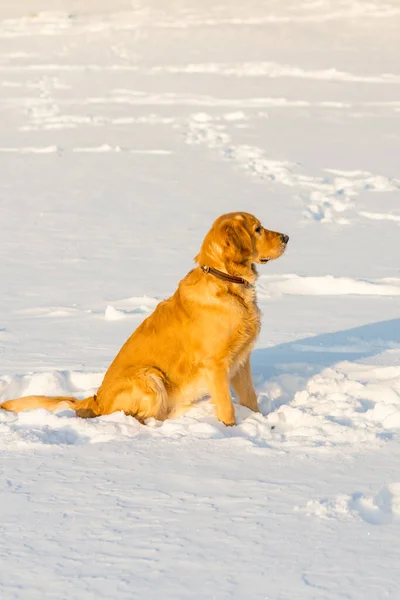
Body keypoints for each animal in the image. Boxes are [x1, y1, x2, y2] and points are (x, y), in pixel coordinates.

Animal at [0, 213, 288, 424]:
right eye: (258, 229)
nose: (287, 236)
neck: (226, 281)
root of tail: (96, 398)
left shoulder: (241, 361)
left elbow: (250, 398)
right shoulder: (215, 365)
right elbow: (227, 408)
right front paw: (231, 431)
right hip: (150, 378)